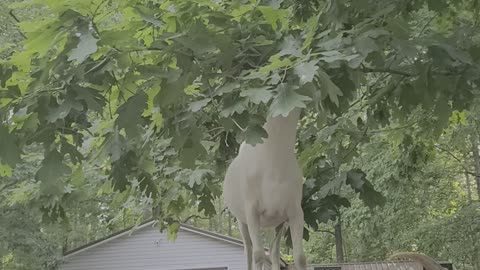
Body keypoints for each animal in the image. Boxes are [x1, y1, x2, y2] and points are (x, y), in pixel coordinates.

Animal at [223, 107, 306, 270]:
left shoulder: (294, 211)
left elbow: (299, 257)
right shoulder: (251, 210)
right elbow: (258, 255)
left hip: (272, 222)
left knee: (273, 252)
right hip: (242, 220)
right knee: (249, 251)